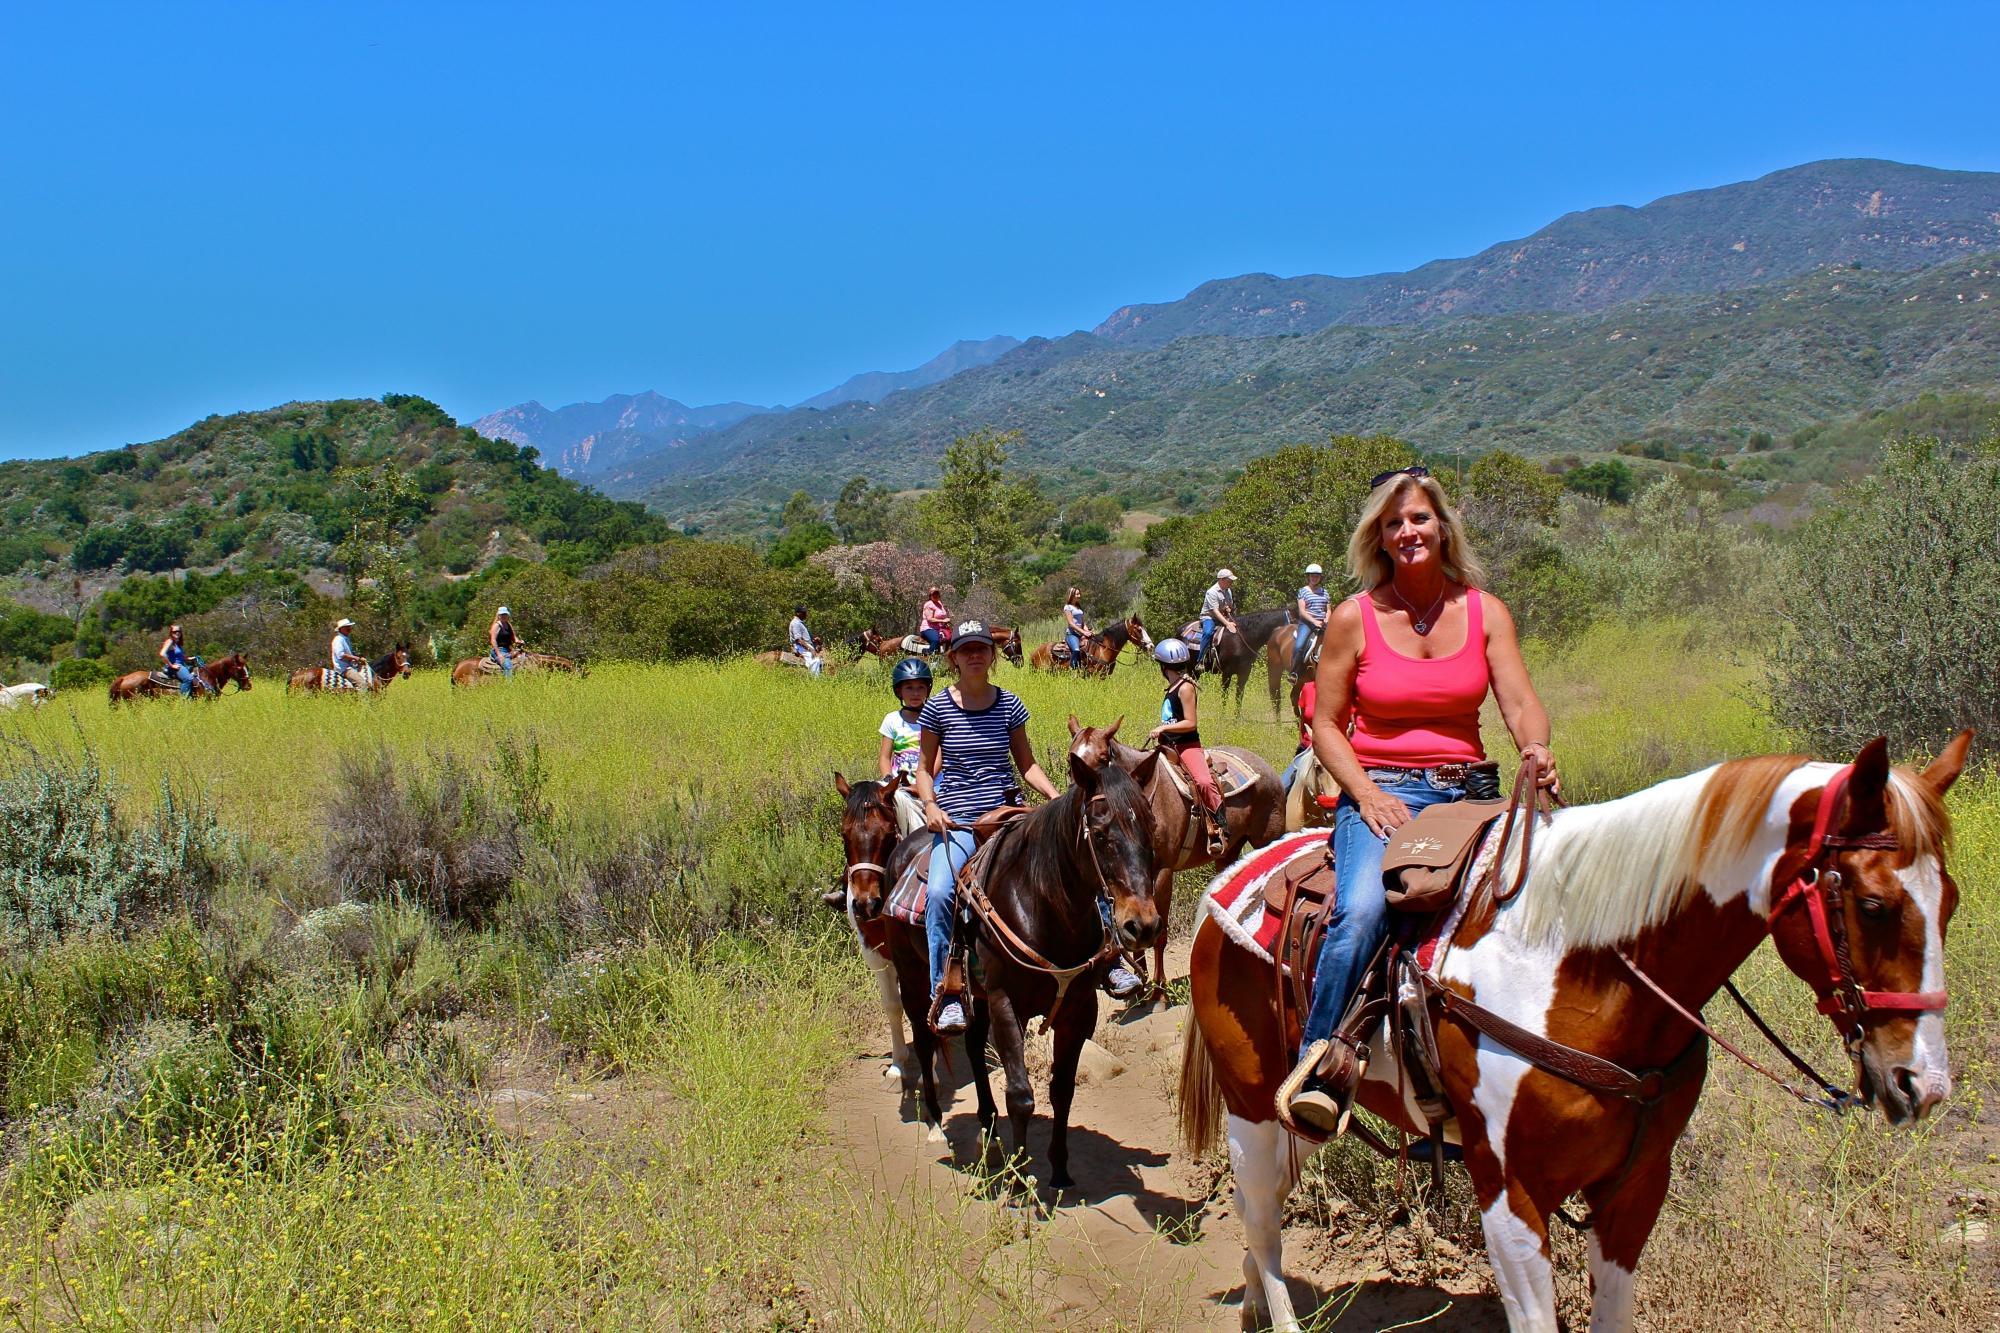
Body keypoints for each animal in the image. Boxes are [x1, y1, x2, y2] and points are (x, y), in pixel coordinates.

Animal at [964, 748, 1168, 1184]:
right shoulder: (1005, 1002)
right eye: (1102, 835)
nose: (1142, 925)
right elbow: (1020, 1095)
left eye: (1150, 829)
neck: (1043, 905)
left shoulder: (1078, 1009)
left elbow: (1063, 1089)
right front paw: (1019, 1178)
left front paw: (1059, 1169)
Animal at [1064, 712, 1280, 980]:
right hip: (1228, 854)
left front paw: (1159, 986)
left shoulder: (1163, 872)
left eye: (1103, 758)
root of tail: (1268, 768)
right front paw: (1142, 982)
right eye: (1070, 758)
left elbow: (1159, 934)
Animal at [1168, 732, 1968, 1320]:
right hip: (1249, 1103)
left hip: (1295, 1113)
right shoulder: (1510, 1194)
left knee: (1261, 1207)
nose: (1922, 1084)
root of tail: (1228, 885)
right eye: (1873, 904)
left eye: (1952, 901)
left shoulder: (1636, 1187)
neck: (1582, 965)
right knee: (1262, 1217)